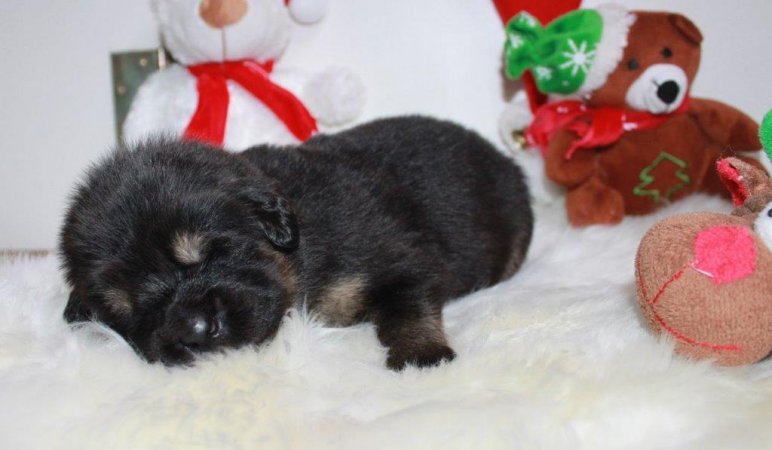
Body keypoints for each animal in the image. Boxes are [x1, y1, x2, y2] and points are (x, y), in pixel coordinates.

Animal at [60, 116, 533, 370]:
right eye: (126, 308)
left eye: (210, 252)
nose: (195, 331)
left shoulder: (402, 260)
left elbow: (406, 310)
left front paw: (422, 356)